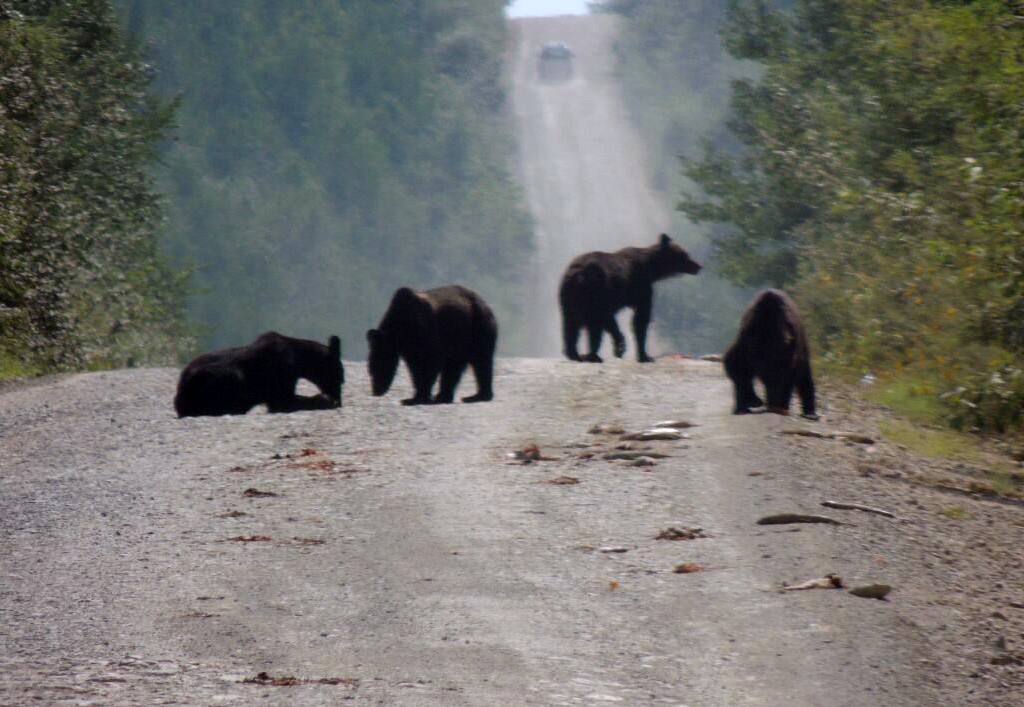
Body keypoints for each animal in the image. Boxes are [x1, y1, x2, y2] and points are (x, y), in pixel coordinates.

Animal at [175, 331, 344, 416]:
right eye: (340, 378)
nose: (339, 401)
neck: (299, 363)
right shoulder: (280, 380)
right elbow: (284, 401)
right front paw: (326, 400)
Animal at [366, 284, 497, 405]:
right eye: (370, 370)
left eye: (379, 367)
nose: (376, 391)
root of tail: (484, 302)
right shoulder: (409, 347)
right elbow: (415, 367)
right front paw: (412, 397)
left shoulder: (426, 330)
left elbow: (431, 361)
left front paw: (417, 398)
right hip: (460, 339)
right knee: (453, 366)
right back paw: (444, 397)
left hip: (478, 326)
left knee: (481, 360)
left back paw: (477, 396)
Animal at [561, 232, 704, 360]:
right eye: (685, 255)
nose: (698, 266)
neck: (651, 269)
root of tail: (577, 274)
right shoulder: (640, 287)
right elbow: (640, 318)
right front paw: (644, 355)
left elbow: (612, 320)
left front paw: (620, 347)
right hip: (592, 289)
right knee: (592, 325)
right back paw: (592, 355)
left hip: (568, 296)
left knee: (571, 325)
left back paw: (574, 353)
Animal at [724, 286, 819, 418]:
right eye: (764, 375)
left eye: (781, 373)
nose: (774, 405)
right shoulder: (746, 342)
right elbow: (736, 367)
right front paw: (751, 402)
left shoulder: (791, 352)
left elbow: (791, 377)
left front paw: (780, 405)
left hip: (802, 344)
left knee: (804, 375)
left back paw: (809, 411)